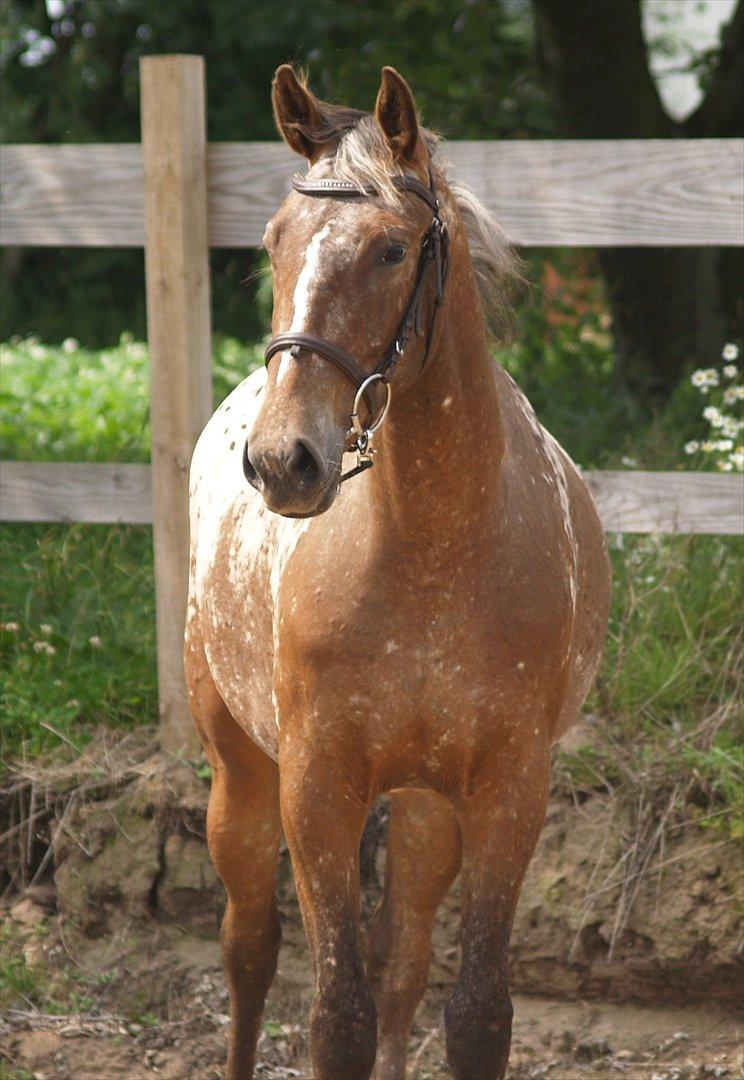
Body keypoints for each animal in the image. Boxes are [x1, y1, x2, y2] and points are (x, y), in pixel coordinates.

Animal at [185, 65, 609, 1080]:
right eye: (274, 241)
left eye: (390, 249)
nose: (284, 461)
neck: (433, 548)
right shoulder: (316, 788)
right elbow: (336, 1010)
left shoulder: (507, 790)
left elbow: (471, 1010)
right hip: (239, 774)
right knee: (249, 946)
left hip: (421, 807)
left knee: (405, 957)